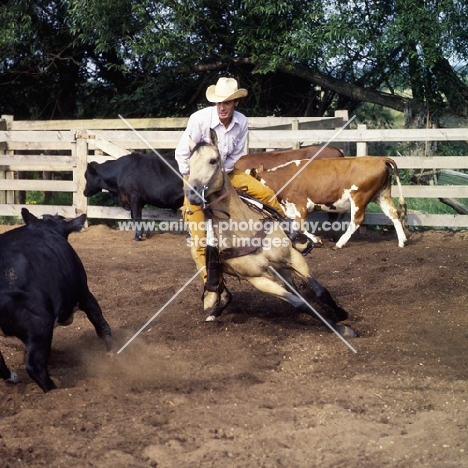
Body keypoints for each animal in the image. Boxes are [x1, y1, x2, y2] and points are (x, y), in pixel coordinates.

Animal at [0, 208, 113, 392]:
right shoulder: (84, 294)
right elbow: (101, 325)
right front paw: (112, 354)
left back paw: (13, 377)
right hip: (41, 325)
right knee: (35, 366)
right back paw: (54, 390)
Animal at [185, 130, 356, 338]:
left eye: (213, 160)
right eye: (189, 164)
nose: (191, 194)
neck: (244, 230)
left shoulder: (293, 258)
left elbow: (320, 290)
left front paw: (341, 314)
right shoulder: (259, 280)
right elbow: (299, 302)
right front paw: (340, 328)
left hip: (282, 266)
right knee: (223, 290)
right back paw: (215, 308)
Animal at [250, 156, 408, 249]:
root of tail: (379, 159)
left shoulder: (301, 205)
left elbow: (300, 226)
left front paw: (317, 240)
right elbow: (294, 226)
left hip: (359, 197)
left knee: (357, 220)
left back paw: (339, 243)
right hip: (382, 195)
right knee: (394, 214)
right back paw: (402, 241)